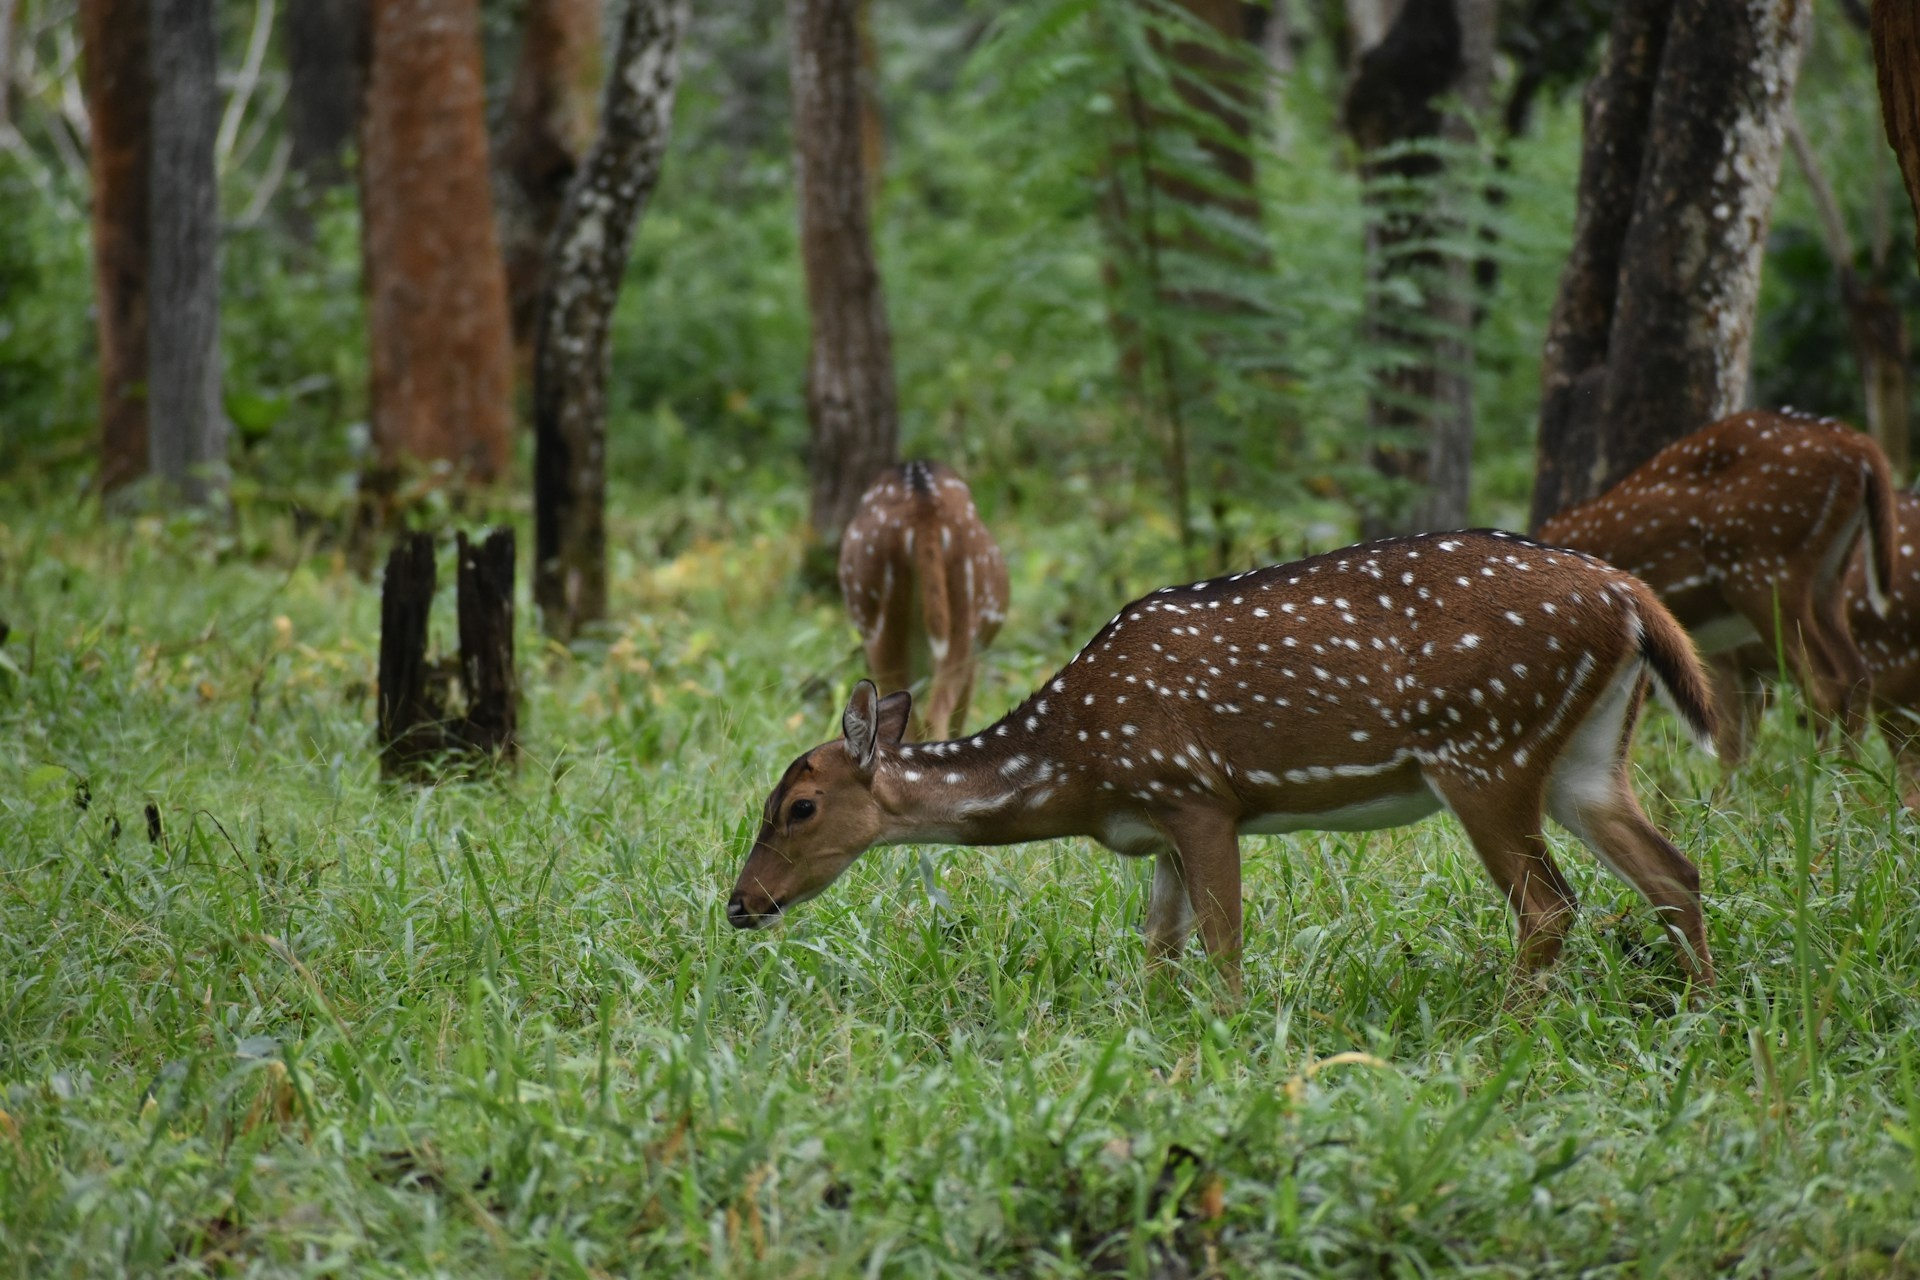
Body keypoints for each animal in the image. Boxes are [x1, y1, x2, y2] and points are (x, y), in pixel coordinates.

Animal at [733, 529, 1728, 990]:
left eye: (798, 807)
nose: (741, 904)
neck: (1077, 766)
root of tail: (1630, 596)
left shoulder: (1195, 792)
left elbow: (1221, 941)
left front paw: (1231, 1039)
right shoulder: (1159, 827)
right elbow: (1159, 947)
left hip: (1485, 747)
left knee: (1551, 905)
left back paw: (1506, 1030)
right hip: (1584, 758)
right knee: (1673, 871)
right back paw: (1702, 1011)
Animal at [1536, 408, 1896, 759]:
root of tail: (1862, 449)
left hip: (1763, 568)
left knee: (1824, 684)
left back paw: (1817, 771)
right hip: (1827, 578)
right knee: (1857, 675)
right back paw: (1847, 774)